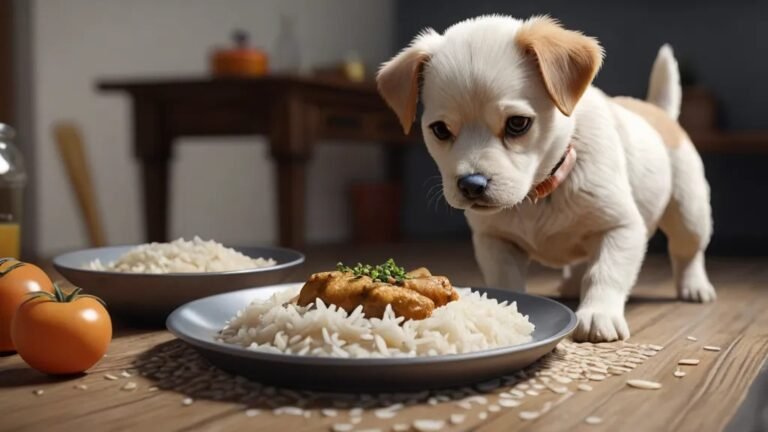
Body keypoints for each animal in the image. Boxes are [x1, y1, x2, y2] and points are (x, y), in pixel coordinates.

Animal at [376, 16, 712, 340]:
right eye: (440, 130)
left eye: (517, 124)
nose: (471, 185)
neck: (540, 192)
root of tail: (659, 112)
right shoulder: (494, 241)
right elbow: (506, 281)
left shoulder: (622, 228)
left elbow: (604, 274)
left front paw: (598, 314)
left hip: (689, 214)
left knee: (688, 253)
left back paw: (694, 286)